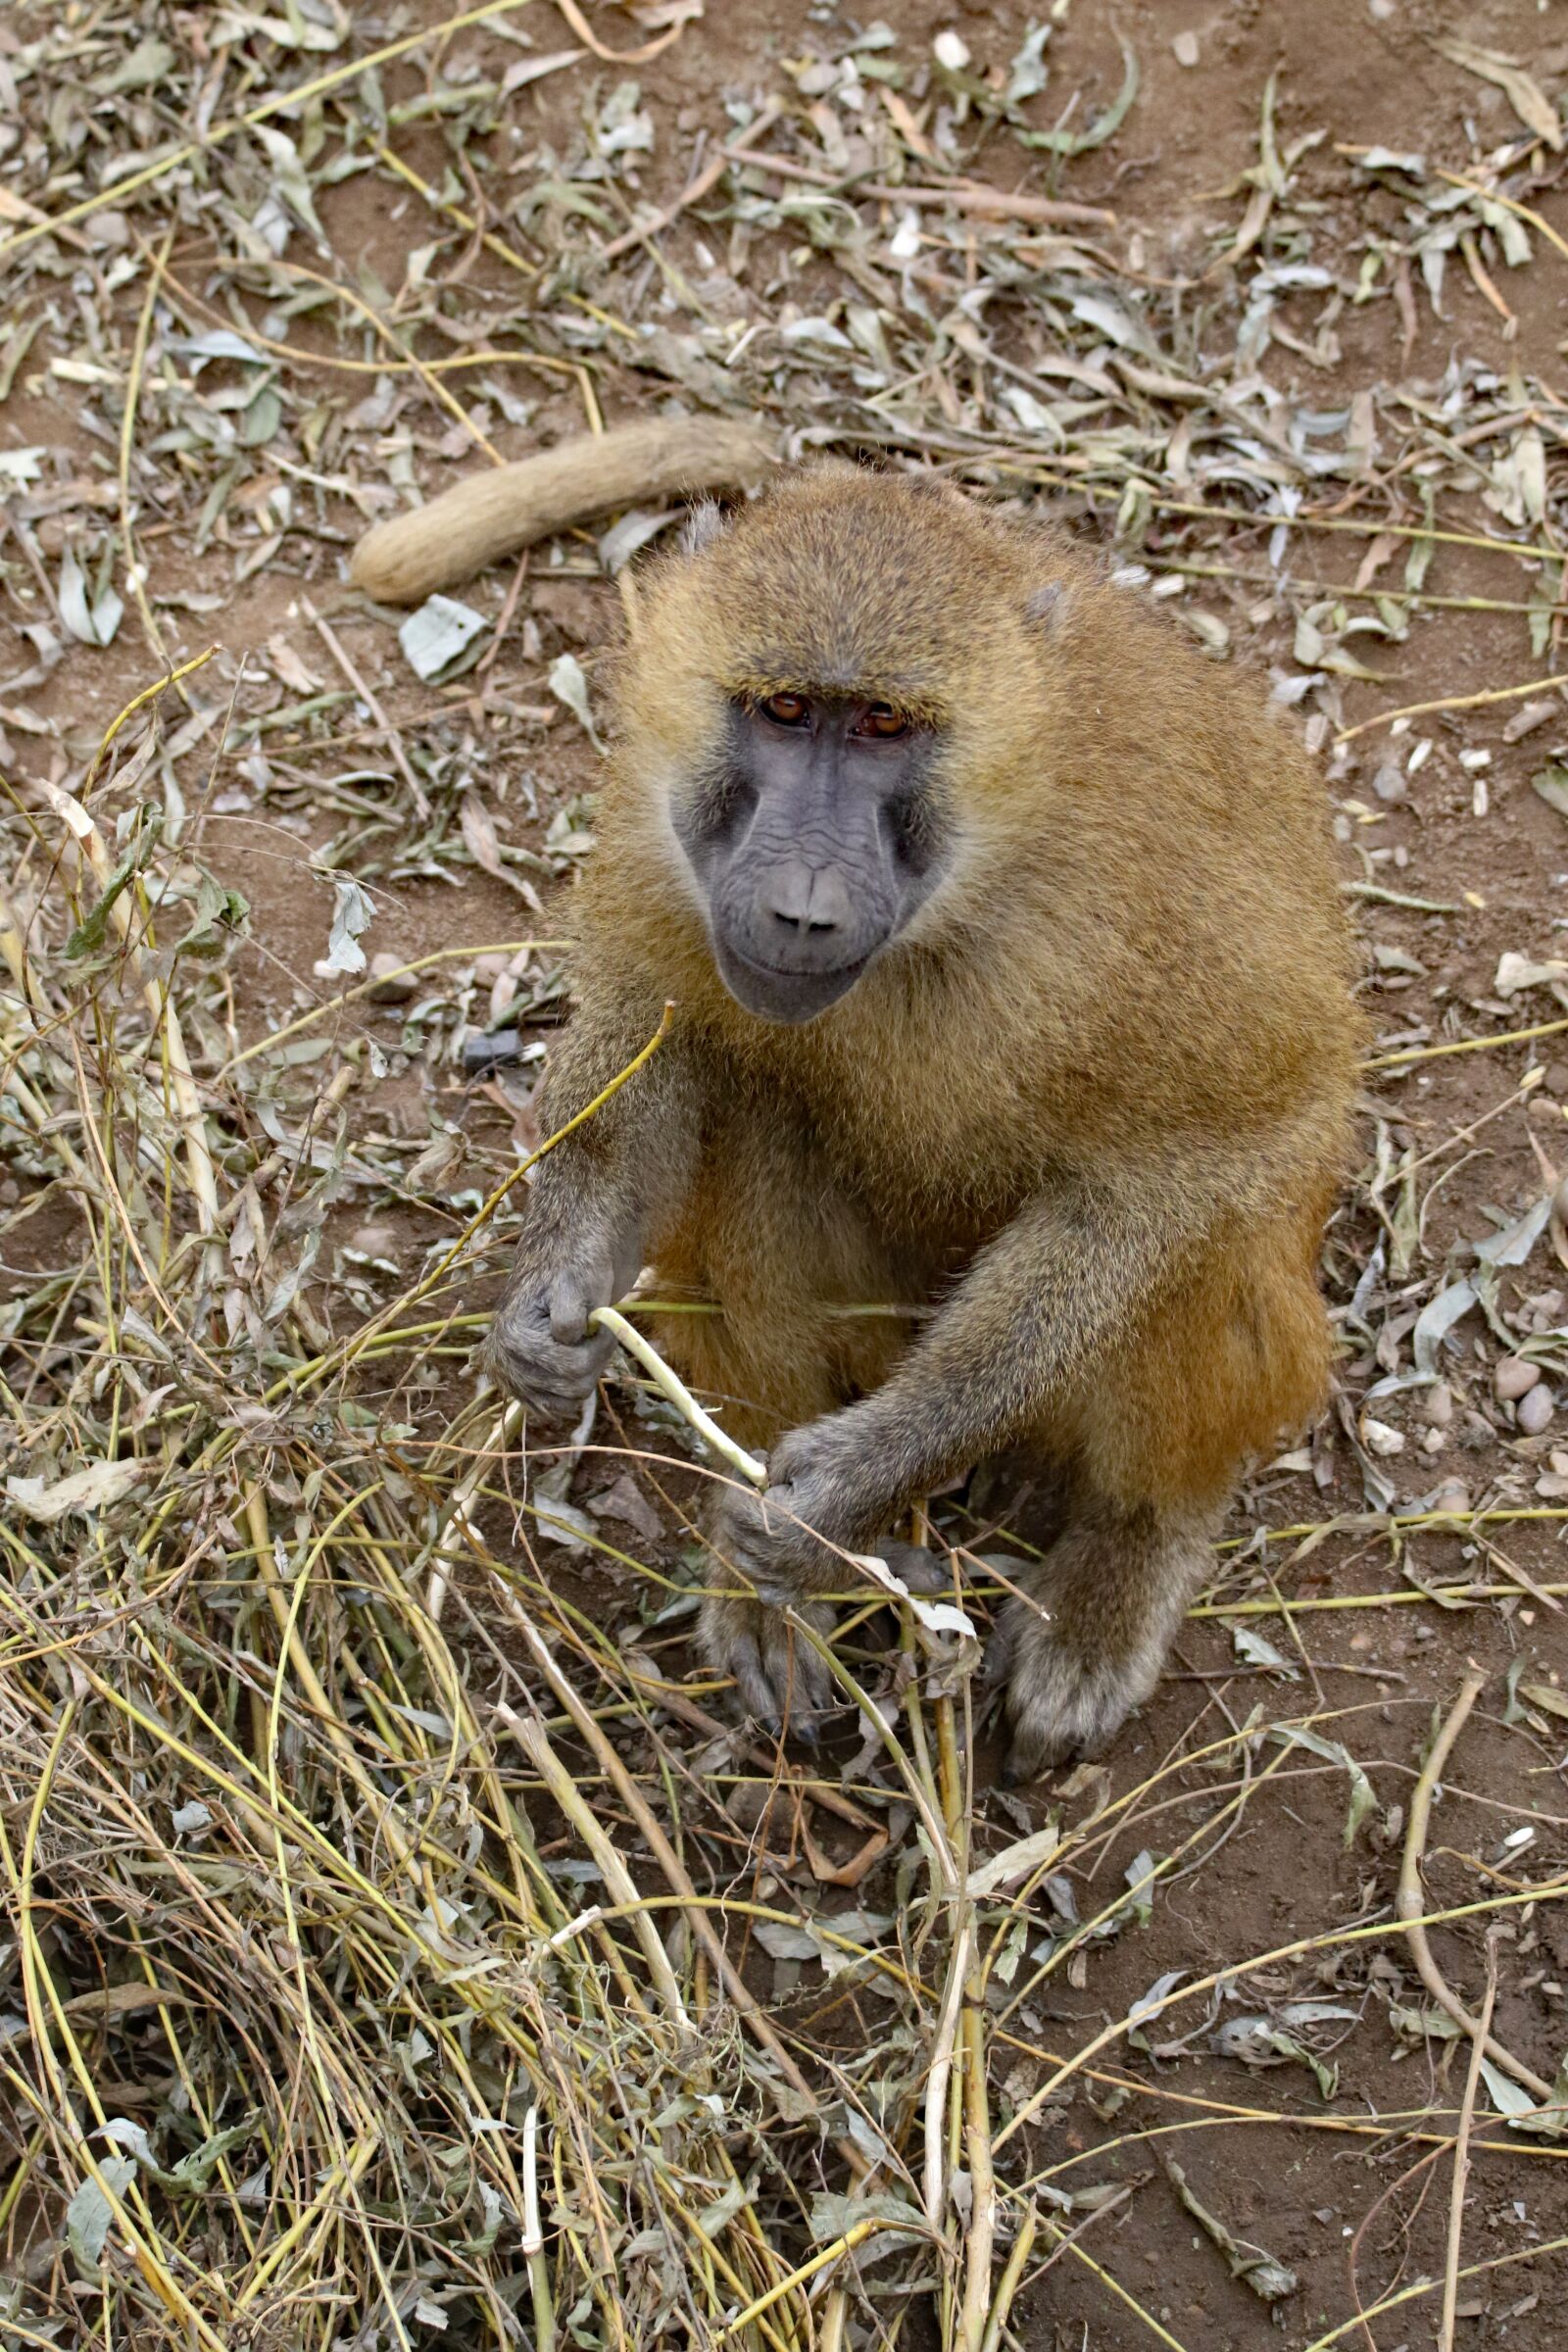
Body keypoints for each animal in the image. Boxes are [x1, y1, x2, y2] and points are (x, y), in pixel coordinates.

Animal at [488, 464, 1360, 1778]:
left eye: (886, 728)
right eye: (785, 710)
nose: (800, 908)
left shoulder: (1155, 913)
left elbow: (1192, 1164)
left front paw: (857, 1479)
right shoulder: (659, 832)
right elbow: (659, 1048)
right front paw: (553, 1301)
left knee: (1210, 1250)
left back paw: (1118, 1562)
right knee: (754, 1108)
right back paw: (774, 1601)